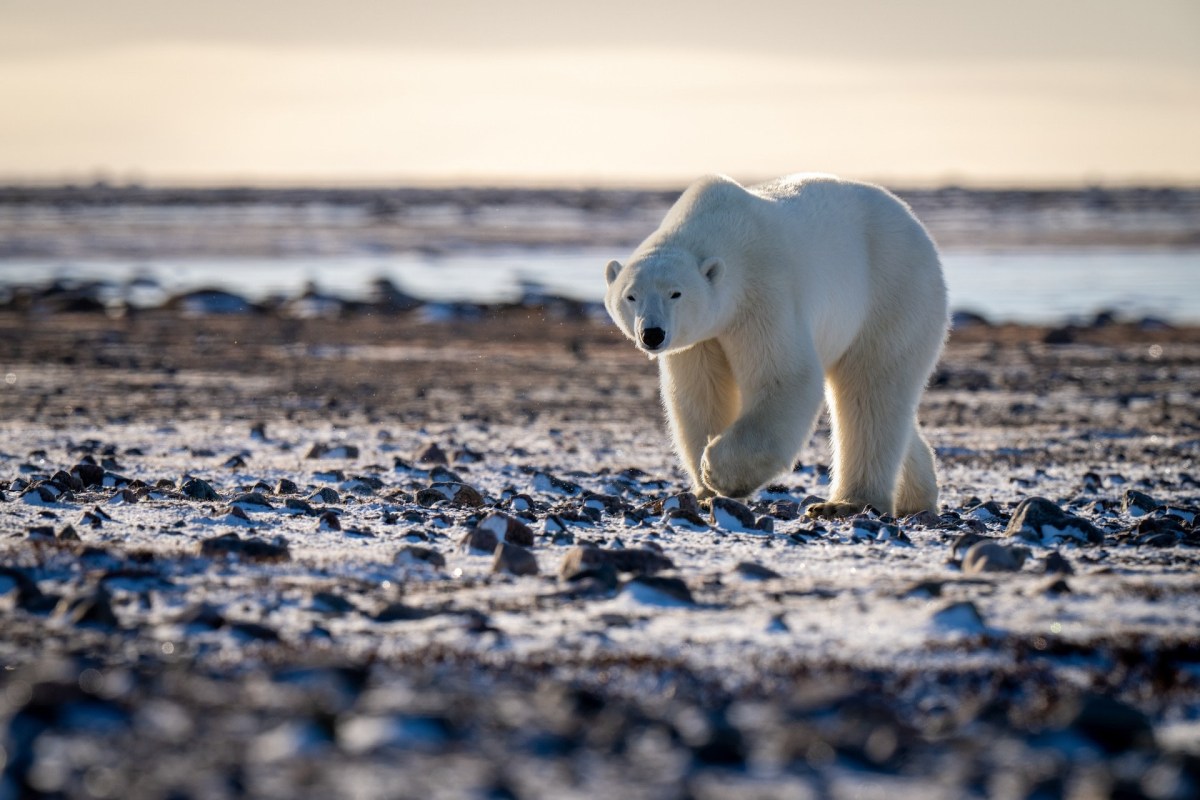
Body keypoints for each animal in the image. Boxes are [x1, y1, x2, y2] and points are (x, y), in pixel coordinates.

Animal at [604, 173, 950, 520]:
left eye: (675, 293)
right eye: (631, 296)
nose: (652, 333)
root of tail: (915, 224)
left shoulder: (763, 293)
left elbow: (785, 378)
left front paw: (717, 473)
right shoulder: (701, 338)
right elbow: (701, 393)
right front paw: (704, 493)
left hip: (892, 292)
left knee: (870, 389)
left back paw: (846, 503)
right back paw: (915, 497)